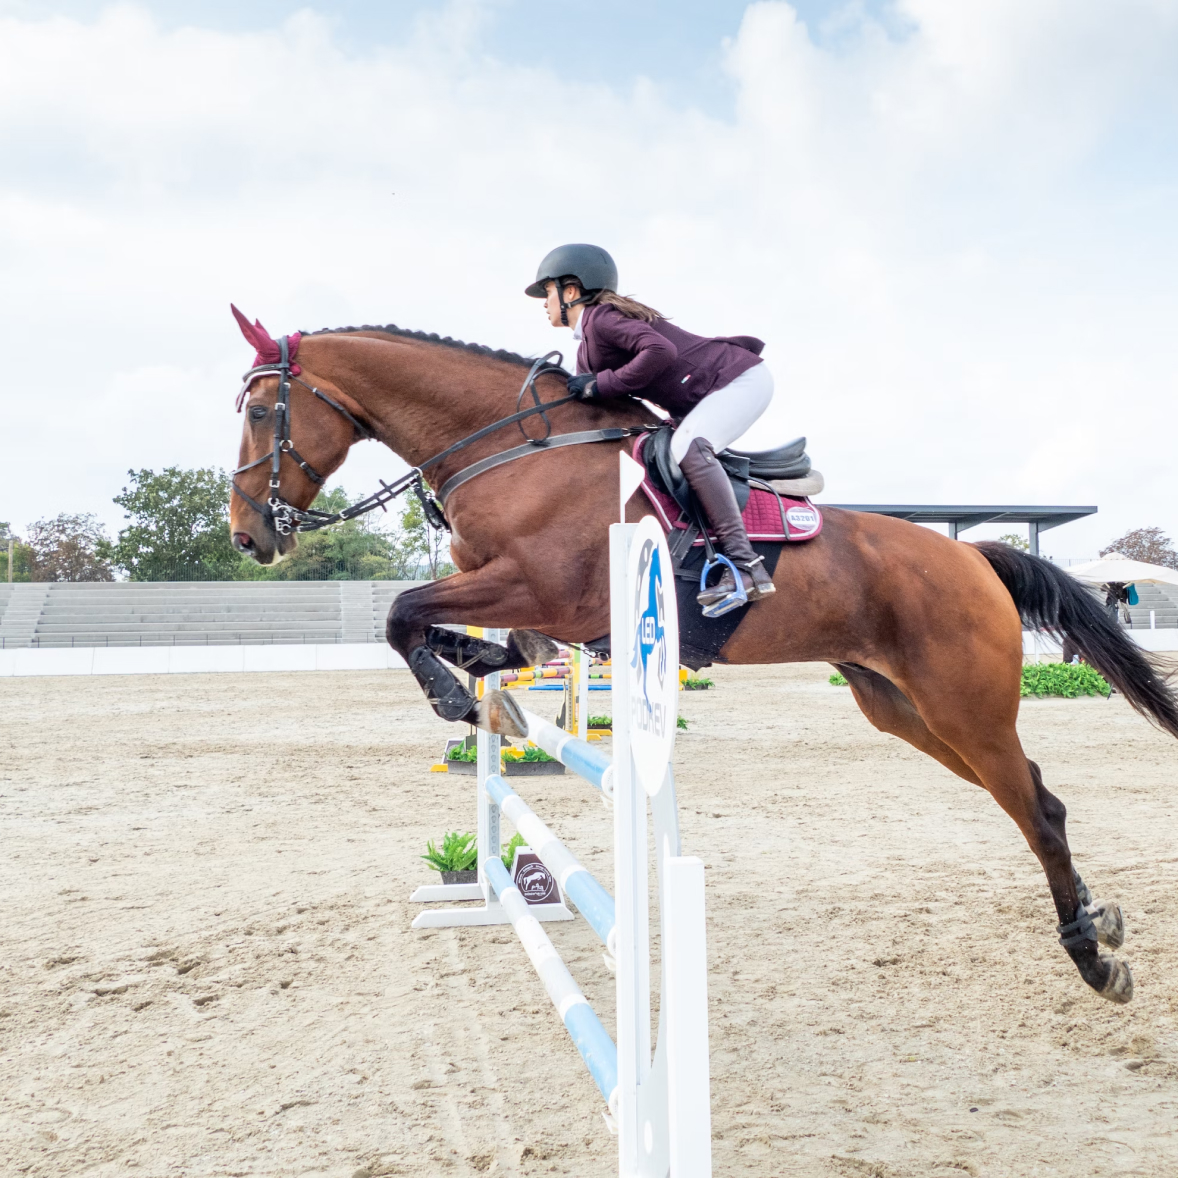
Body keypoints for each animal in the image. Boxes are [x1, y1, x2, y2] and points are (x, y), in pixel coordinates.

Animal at [227, 320, 1178, 1003]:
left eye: (264, 411)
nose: (249, 534)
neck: (516, 449)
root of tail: (973, 555)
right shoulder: (519, 596)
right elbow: (461, 630)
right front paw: (487, 681)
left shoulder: (545, 590)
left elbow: (403, 615)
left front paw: (458, 697)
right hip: (903, 709)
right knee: (1036, 797)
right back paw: (1101, 924)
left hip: (963, 708)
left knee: (1039, 812)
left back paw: (1093, 960)